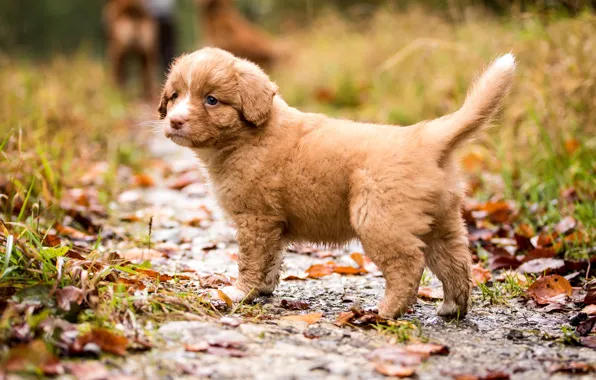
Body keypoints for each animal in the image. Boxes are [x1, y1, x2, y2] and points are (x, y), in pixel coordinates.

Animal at [158, 48, 516, 320]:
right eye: (174, 96)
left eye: (212, 100)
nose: (174, 120)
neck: (249, 137)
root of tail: (424, 138)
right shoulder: (272, 224)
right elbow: (271, 260)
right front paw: (262, 289)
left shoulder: (255, 220)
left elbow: (250, 260)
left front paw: (239, 292)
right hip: (443, 222)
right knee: (456, 262)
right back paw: (452, 308)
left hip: (379, 219)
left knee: (407, 265)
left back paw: (386, 312)